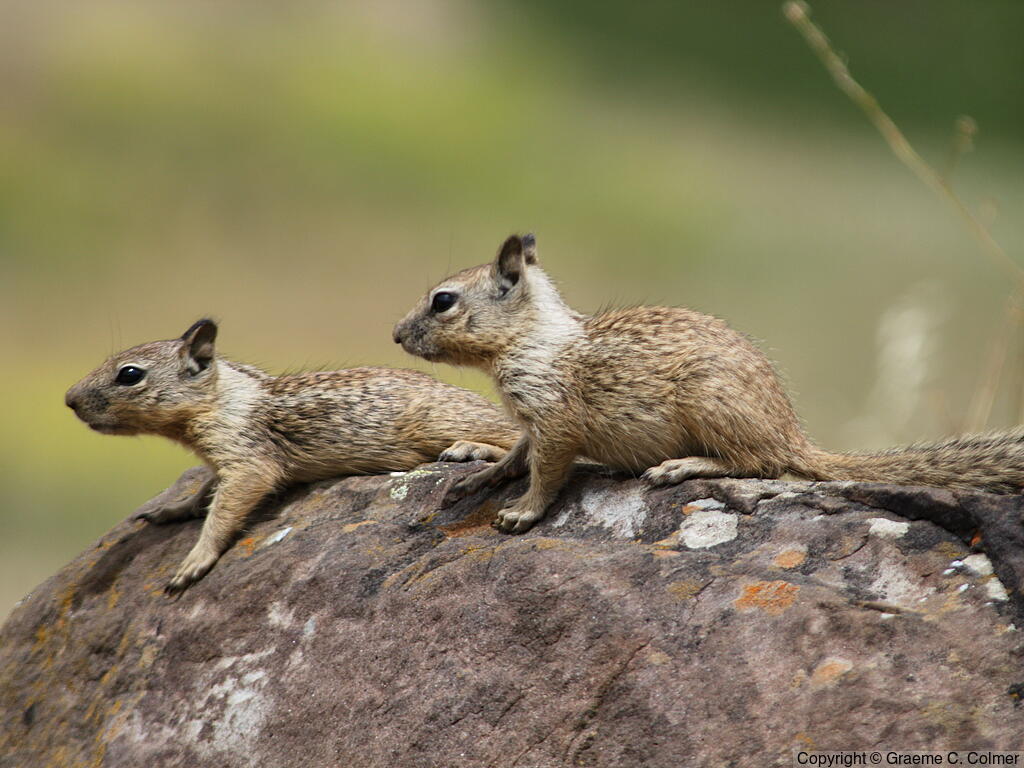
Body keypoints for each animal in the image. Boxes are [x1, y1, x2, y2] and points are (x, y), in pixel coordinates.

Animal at [65, 319, 519, 591]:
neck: (220, 397)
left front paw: (192, 562)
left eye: (129, 374)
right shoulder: (220, 460)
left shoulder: (245, 459)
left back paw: (470, 449)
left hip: (439, 422)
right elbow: (205, 491)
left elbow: (225, 509)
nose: (68, 400)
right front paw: (170, 510)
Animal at [393, 233, 1024, 533]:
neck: (534, 339)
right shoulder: (531, 420)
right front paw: (480, 476)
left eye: (443, 301)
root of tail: (793, 434)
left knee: (762, 465)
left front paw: (522, 512)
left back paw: (683, 466)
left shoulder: (556, 419)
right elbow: (516, 453)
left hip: (712, 404)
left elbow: (547, 471)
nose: (396, 334)